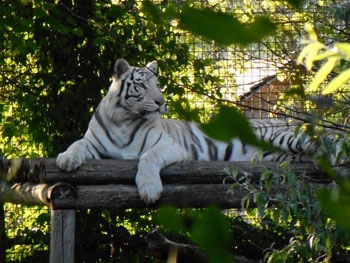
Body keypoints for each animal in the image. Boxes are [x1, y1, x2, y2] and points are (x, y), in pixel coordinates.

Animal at [57, 59, 314, 204]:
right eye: (142, 85)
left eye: (157, 85)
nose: (161, 102)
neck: (124, 118)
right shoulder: (93, 143)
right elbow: (77, 144)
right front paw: (66, 160)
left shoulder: (167, 145)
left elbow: (147, 157)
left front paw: (149, 190)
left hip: (283, 137)